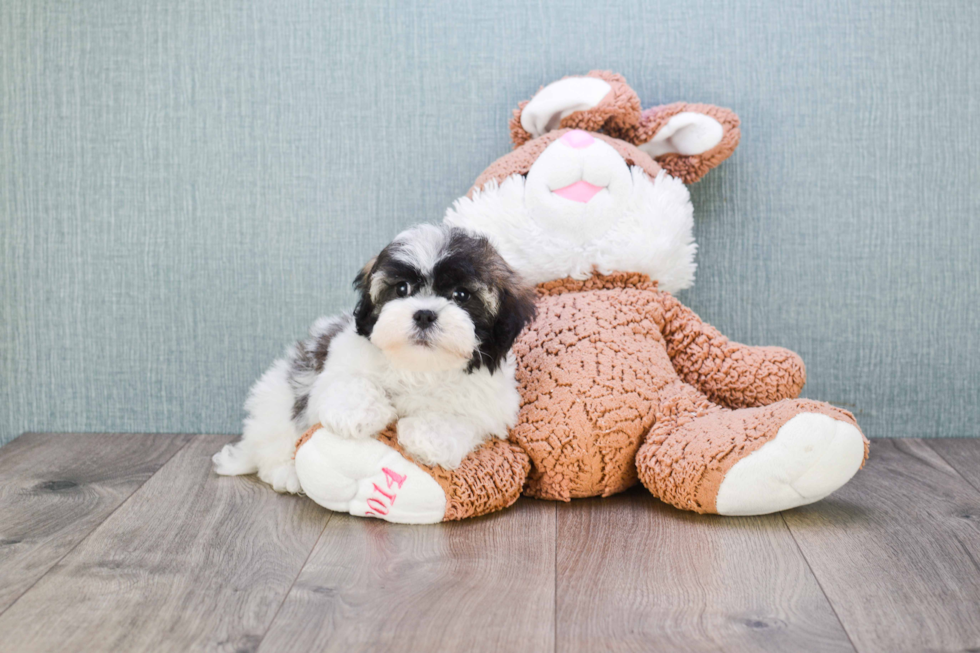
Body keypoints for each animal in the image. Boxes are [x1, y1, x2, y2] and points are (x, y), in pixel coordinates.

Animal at [212, 225, 536, 494]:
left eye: (461, 295)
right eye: (402, 289)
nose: (424, 313)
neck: (420, 366)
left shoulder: (490, 407)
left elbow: (459, 419)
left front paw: (424, 438)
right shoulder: (337, 365)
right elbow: (350, 382)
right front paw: (356, 414)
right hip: (277, 401)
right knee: (273, 443)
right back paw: (286, 472)